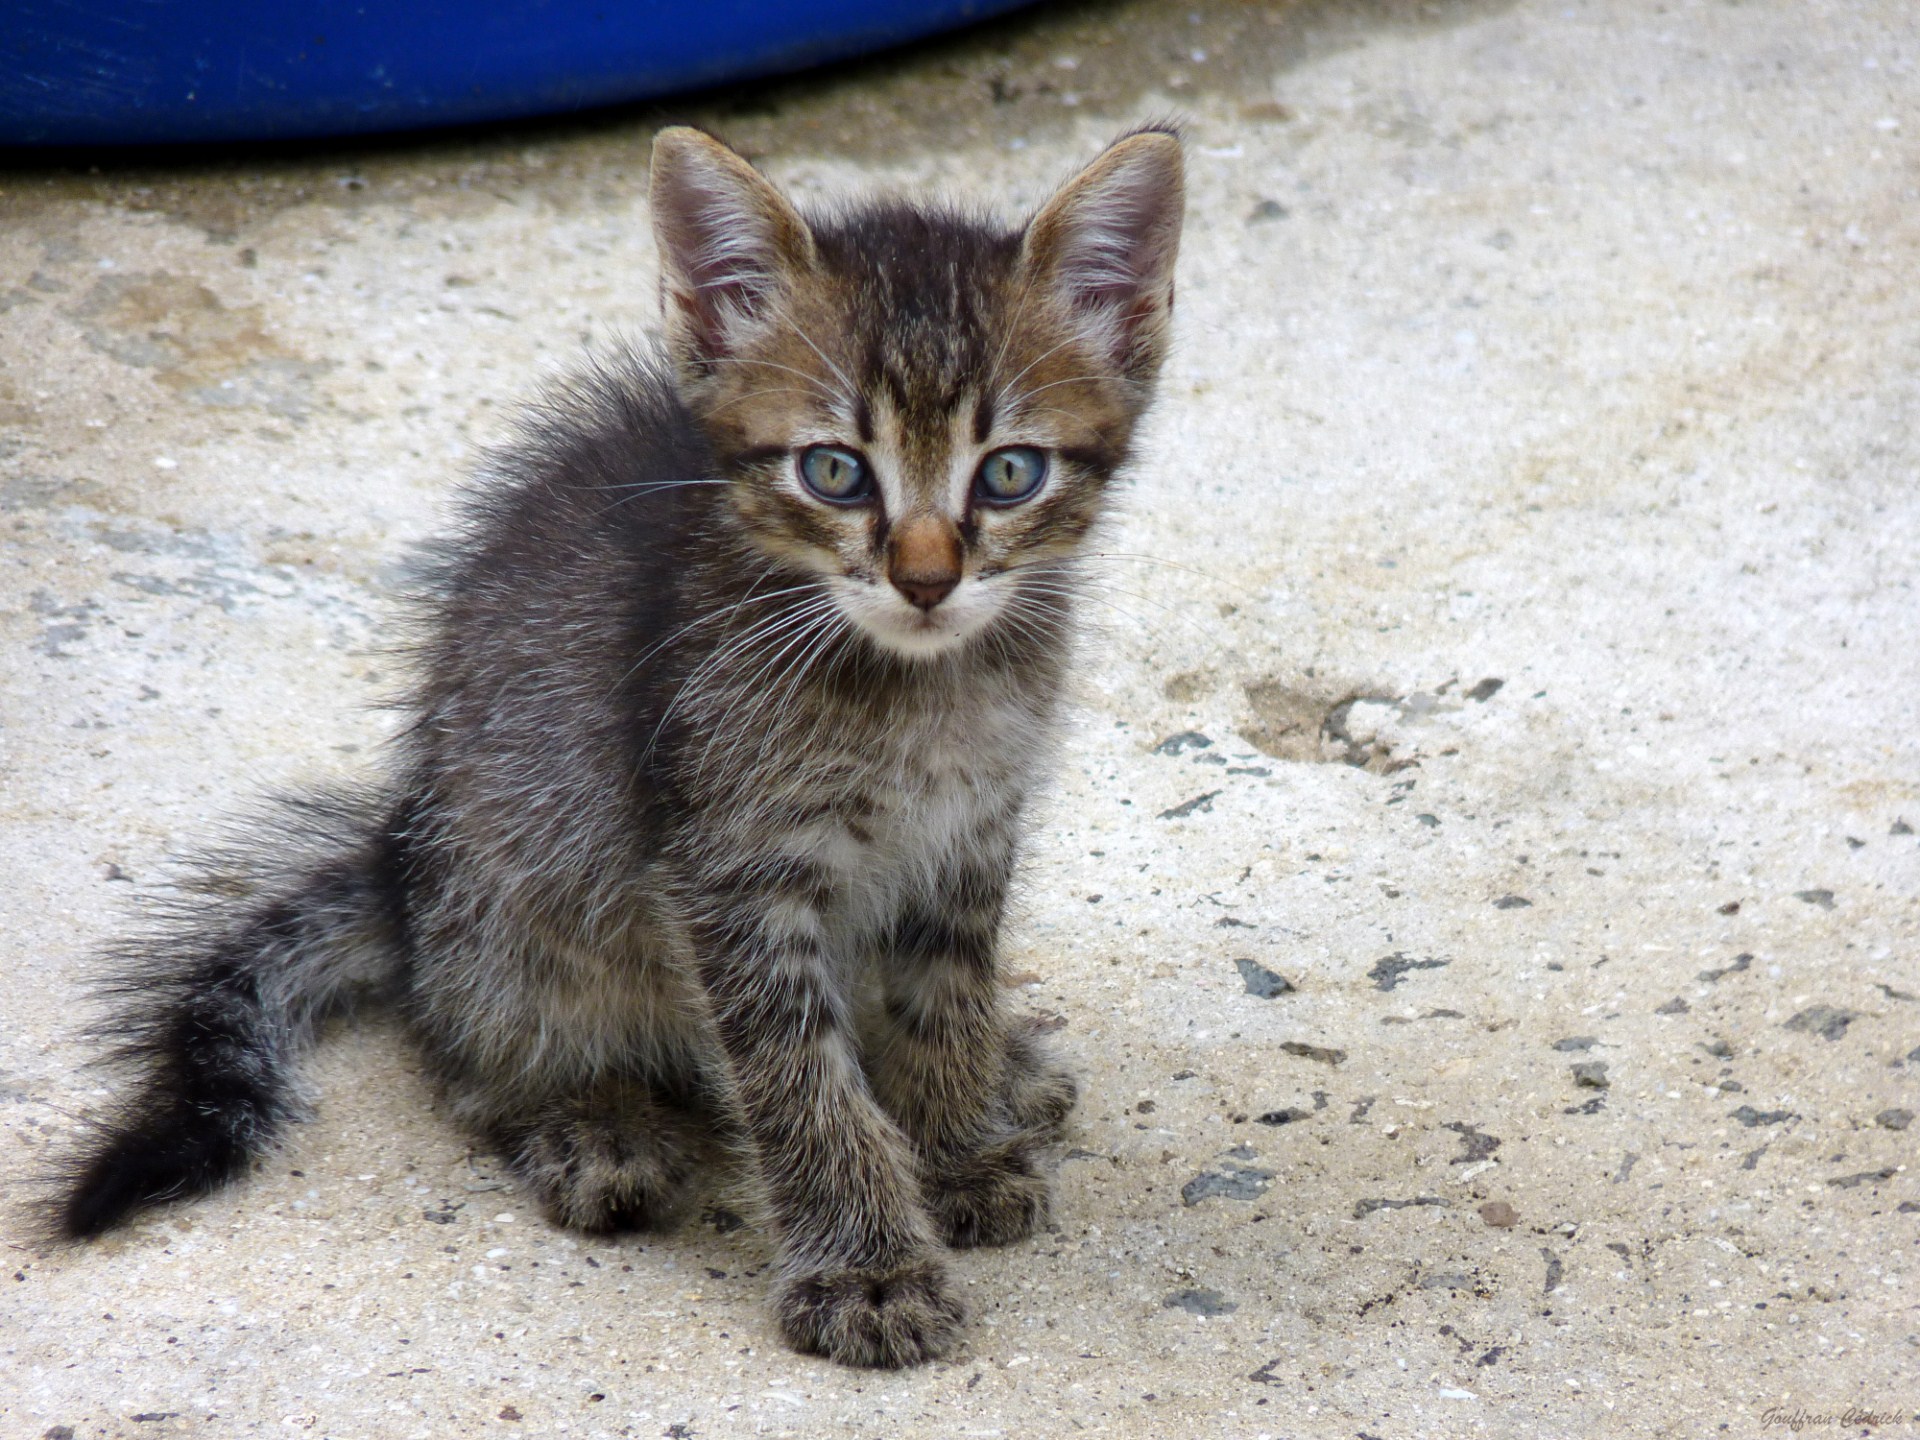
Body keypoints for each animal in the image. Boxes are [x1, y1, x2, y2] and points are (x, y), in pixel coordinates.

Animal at [48, 121, 1182, 1367]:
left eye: (1010, 472)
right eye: (834, 470)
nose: (926, 579)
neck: (918, 689)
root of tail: (400, 873)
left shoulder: (969, 833)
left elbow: (947, 1000)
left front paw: (958, 1140)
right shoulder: (725, 868)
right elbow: (797, 1080)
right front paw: (868, 1267)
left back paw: (1002, 1071)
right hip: (517, 903)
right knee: (463, 1056)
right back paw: (588, 1122)